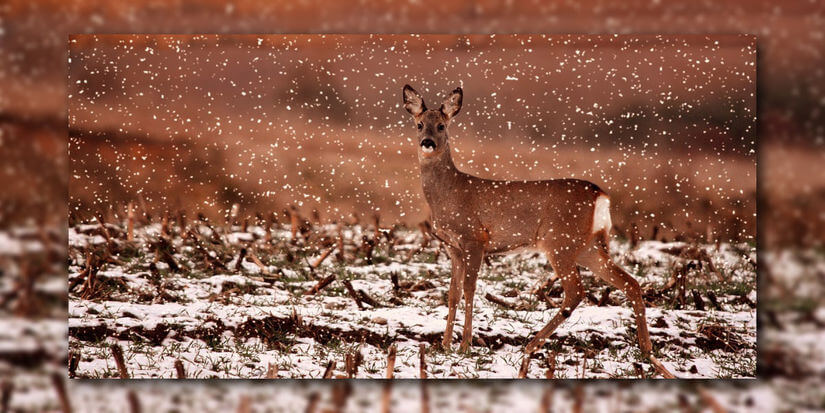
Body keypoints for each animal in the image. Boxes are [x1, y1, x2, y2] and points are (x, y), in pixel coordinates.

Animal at [400, 83, 676, 376]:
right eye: (419, 124)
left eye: (442, 125)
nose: (427, 142)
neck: (450, 193)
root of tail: (601, 195)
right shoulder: (452, 246)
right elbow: (452, 293)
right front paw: (444, 344)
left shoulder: (475, 238)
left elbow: (469, 289)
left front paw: (464, 345)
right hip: (587, 247)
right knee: (630, 282)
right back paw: (647, 351)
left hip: (560, 242)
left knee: (576, 291)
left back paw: (532, 345)